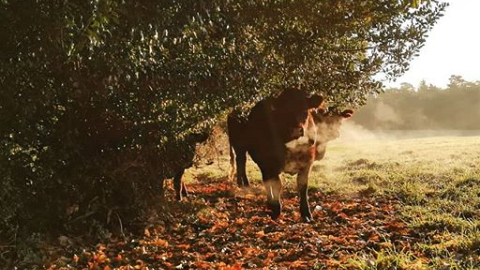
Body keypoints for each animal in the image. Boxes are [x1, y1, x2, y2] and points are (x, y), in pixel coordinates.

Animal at [227, 89, 324, 220]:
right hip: (240, 146)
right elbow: (277, 185)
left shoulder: (307, 164)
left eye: (305, 111)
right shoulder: (271, 163)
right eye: (283, 112)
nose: (295, 130)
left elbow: (303, 187)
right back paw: (244, 184)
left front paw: (306, 213)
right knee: (242, 162)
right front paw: (277, 210)